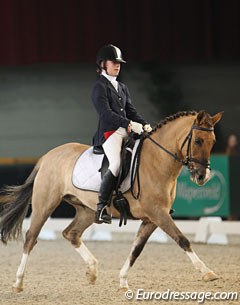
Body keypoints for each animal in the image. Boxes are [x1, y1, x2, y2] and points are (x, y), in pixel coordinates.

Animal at [0, 110, 223, 290]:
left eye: (213, 142)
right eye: (198, 141)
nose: (202, 177)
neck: (157, 160)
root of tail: (48, 156)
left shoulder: (151, 219)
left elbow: (136, 249)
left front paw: (123, 280)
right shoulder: (158, 214)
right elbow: (182, 239)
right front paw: (207, 272)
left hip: (87, 210)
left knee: (71, 233)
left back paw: (92, 271)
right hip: (45, 204)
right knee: (31, 237)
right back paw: (18, 282)